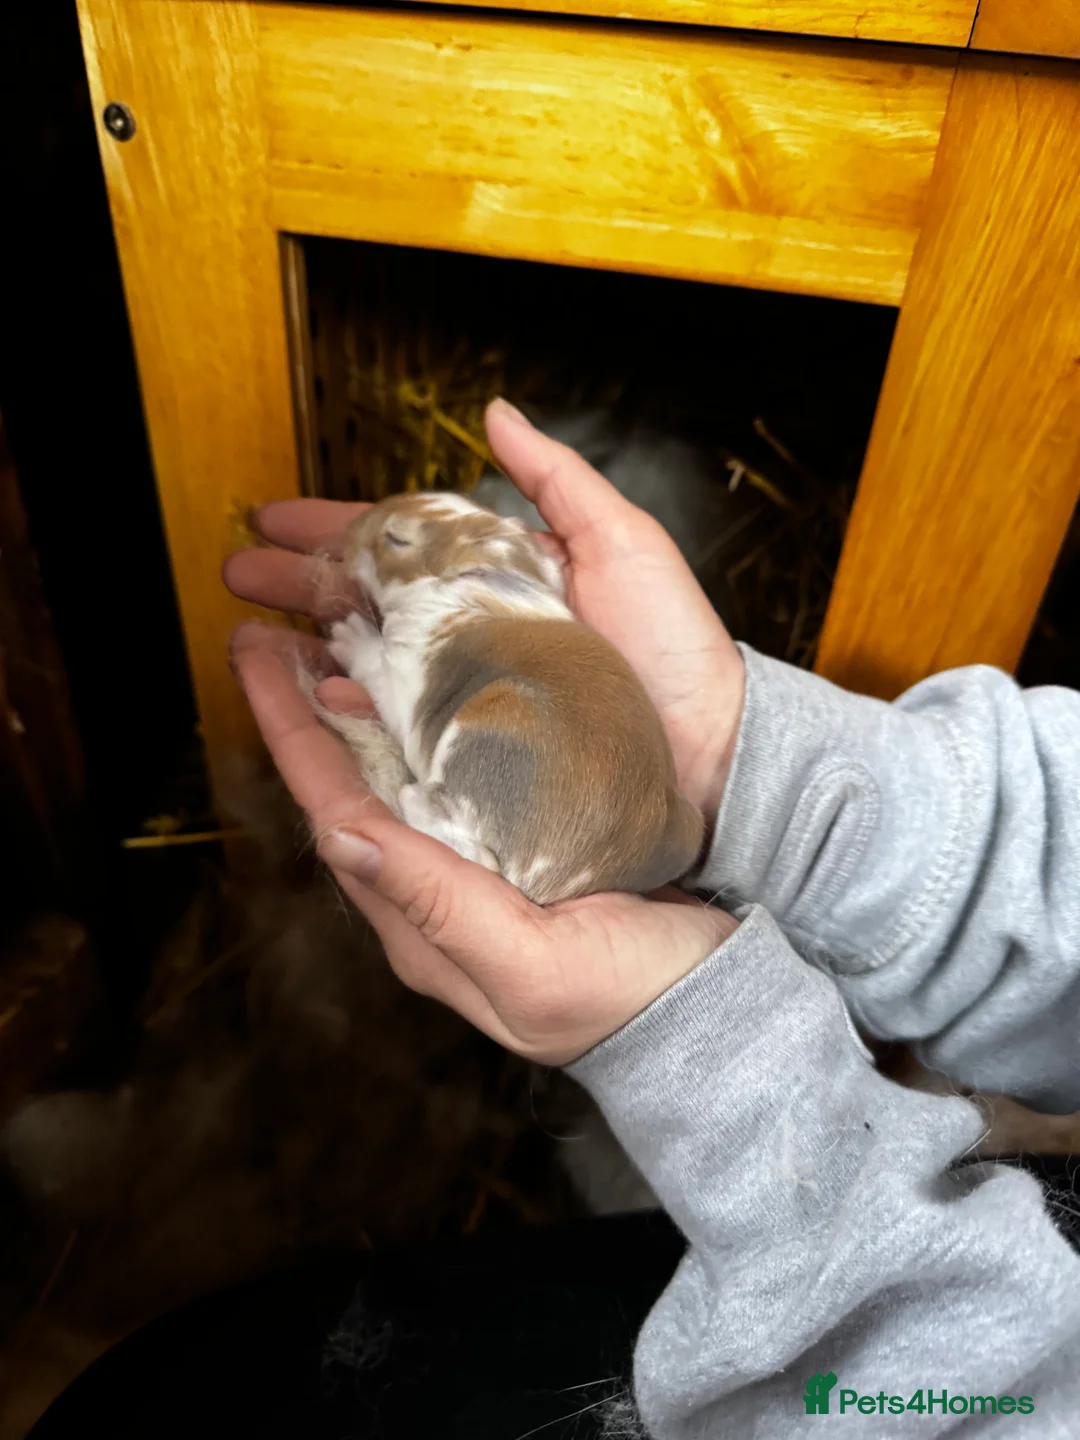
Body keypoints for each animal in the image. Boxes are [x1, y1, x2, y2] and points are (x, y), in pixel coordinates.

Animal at [322, 490, 703, 906]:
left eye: (398, 538)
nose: (350, 530)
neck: (449, 590)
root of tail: (564, 879)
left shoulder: (401, 683)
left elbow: (372, 664)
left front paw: (346, 634)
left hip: (492, 720)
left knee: (484, 860)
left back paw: (411, 798)